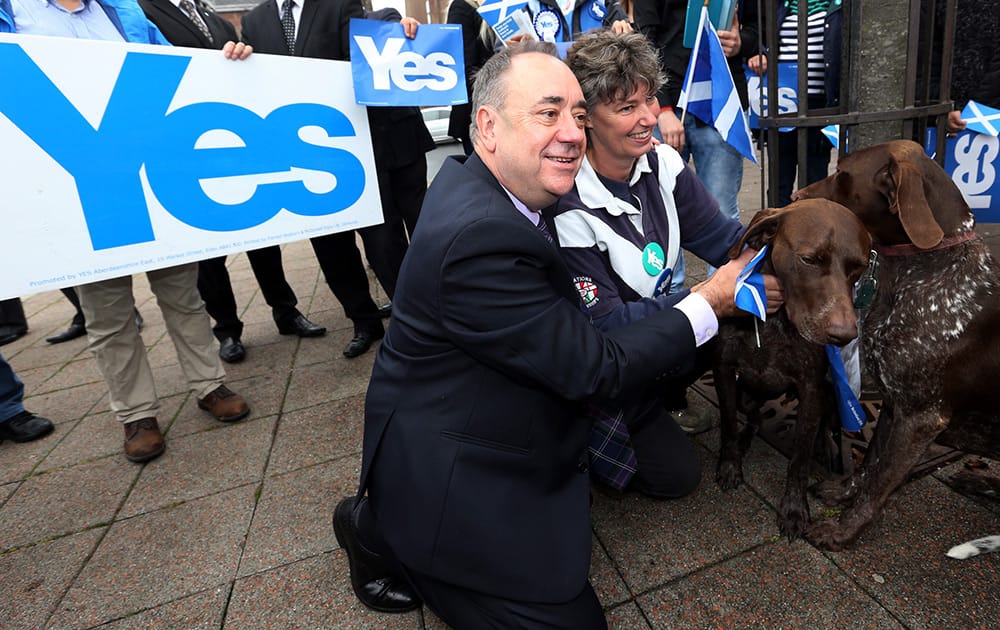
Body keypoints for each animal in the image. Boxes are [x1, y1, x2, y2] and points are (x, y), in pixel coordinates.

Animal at [716, 200, 872, 540]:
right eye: (809, 259)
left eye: (858, 270)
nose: (844, 335)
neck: (773, 319)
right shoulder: (725, 371)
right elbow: (729, 426)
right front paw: (730, 465)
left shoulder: (812, 389)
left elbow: (799, 458)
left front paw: (794, 508)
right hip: (747, 394)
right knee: (754, 417)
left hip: (830, 391)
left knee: (823, 426)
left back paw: (825, 447)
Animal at [792, 139, 996, 552]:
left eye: (842, 173)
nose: (795, 197)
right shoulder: (894, 400)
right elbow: (870, 462)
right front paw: (844, 492)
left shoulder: (920, 416)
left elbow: (881, 480)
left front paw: (843, 530)